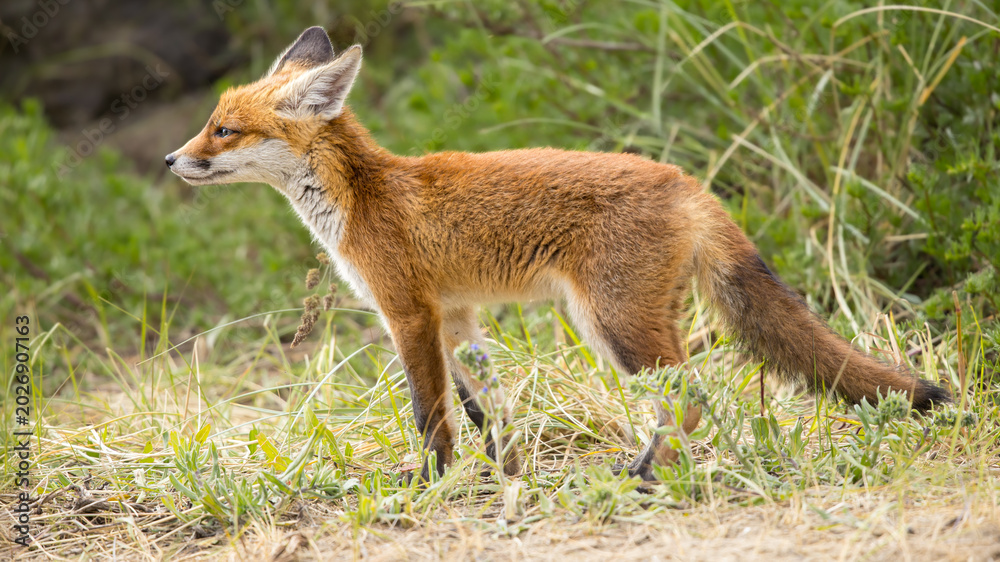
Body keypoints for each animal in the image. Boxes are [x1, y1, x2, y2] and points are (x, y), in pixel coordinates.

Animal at [166, 26, 949, 482]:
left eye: (225, 130)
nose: (173, 159)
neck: (361, 198)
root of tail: (686, 181)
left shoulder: (407, 313)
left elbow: (430, 414)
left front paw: (430, 483)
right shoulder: (456, 316)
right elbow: (485, 409)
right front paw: (507, 473)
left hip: (612, 323)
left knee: (688, 398)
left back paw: (644, 473)